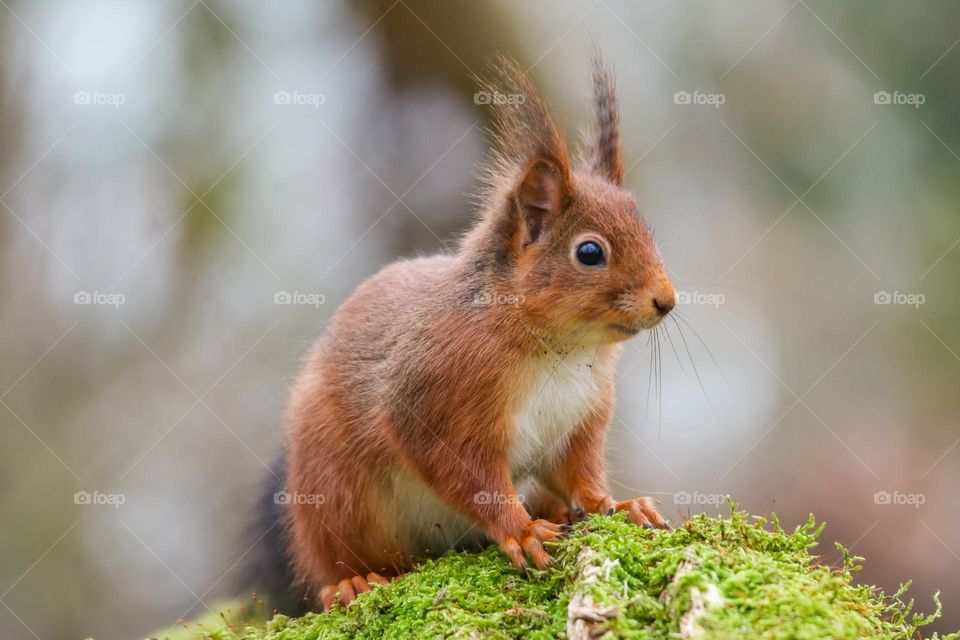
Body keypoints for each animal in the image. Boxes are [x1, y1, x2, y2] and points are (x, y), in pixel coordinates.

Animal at [248, 56, 676, 616]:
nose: (667, 300)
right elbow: (471, 479)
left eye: (648, 229)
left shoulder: (579, 419)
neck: (561, 348)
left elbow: (581, 475)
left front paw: (619, 505)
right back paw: (351, 583)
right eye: (589, 252)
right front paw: (522, 532)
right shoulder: (437, 400)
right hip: (331, 491)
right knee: (332, 558)